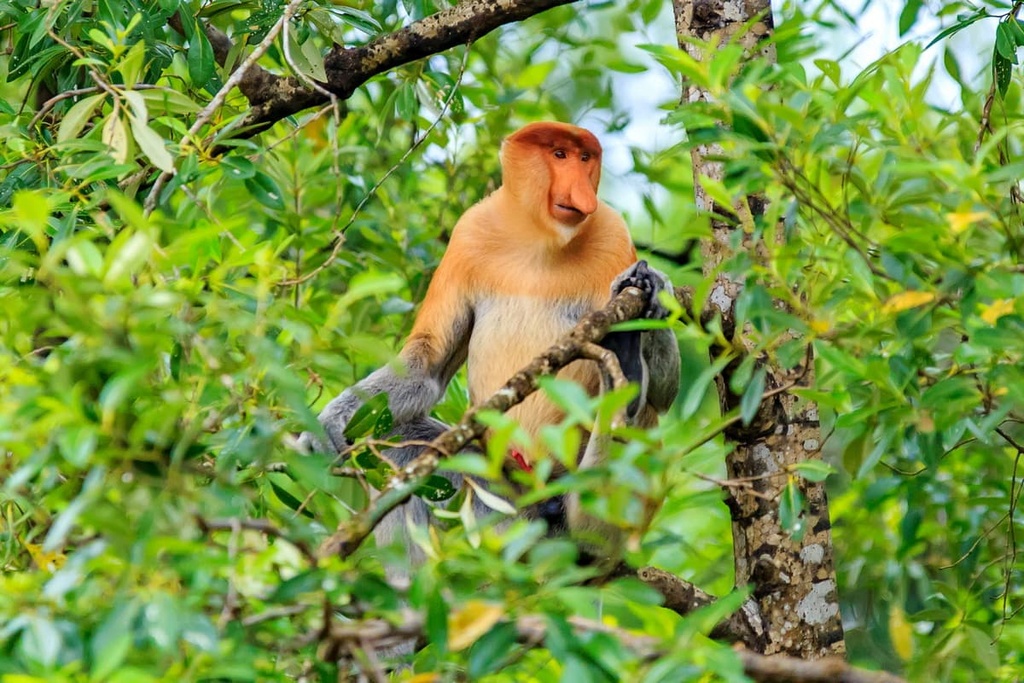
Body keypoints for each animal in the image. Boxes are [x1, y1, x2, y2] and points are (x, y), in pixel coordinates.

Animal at [300, 121, 681, 564]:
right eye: (560, 155)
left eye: (586, 159)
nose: (582, 192)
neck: (541, 240)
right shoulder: (469, 233)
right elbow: (427, 366)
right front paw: (326, 425)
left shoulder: (614, 233)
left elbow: (666, 395)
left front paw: (652, 285)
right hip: (496, 500)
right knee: (394, 448)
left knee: (643, 414)